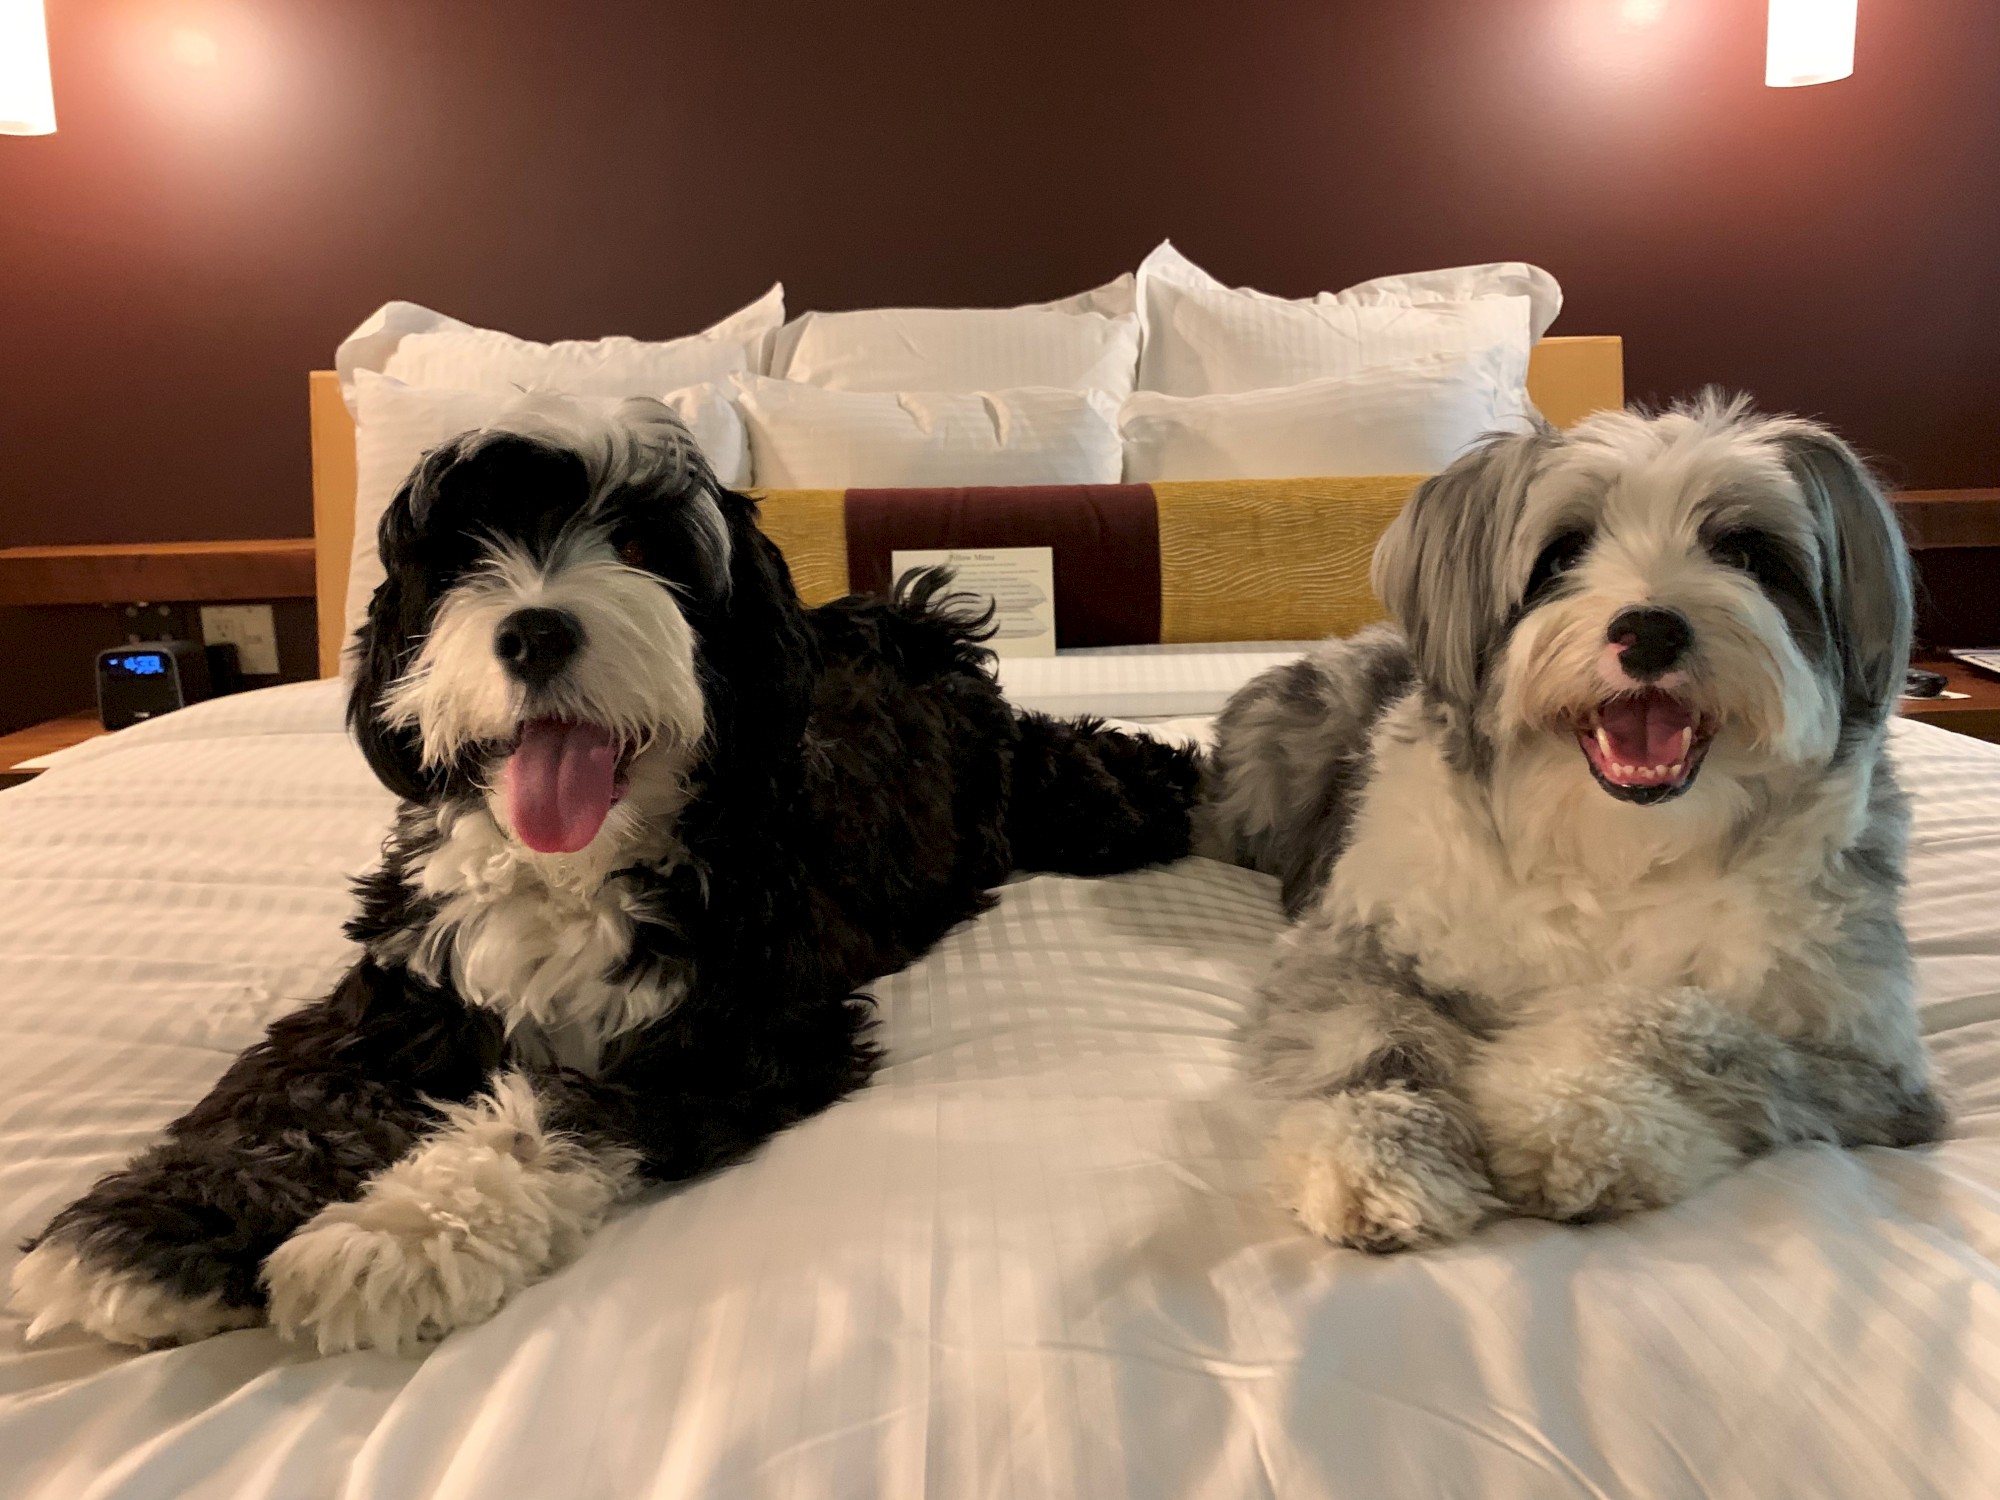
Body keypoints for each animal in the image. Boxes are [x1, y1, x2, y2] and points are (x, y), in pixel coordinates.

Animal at [15, 394, 1192, 1360]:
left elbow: (555, 1106)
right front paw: (150, 1230)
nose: (535, 632)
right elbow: (285, 1091)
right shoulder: (396, 992)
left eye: (637, 543)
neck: (577, 865)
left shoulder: (742, 1036)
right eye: (467, 555)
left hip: (1054, 794)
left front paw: (392, 1233)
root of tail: (898, 625)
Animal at [1200, 394, 1936, 1248]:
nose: (1650, 630)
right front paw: (1373, 1157)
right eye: (1561, 555)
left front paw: (1567, 1126)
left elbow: (1669, 1021)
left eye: (1748, 552)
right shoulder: (1353, 945)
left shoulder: (1868, 1065)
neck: (1613, 849)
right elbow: (1366, 1034)